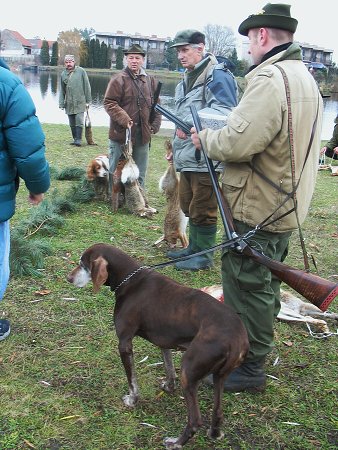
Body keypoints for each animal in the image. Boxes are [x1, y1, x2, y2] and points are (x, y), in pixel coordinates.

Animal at [67, 244, 250, 448]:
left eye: (83, 264)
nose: (69, 278)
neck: (130, 280)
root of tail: (237, 340)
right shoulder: (165, 343)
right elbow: (169, 369)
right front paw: (169, 387)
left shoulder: (124, 343)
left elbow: (132, 381)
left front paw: (132, 400)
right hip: (220, 376)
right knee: (218, 412)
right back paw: (215, 433)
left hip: (189, 370)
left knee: (195, 420)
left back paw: (176, 442)